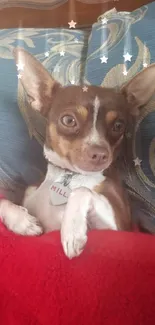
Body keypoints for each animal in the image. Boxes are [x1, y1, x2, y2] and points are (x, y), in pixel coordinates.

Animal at [0, 46, 155, 256]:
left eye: (118, 126)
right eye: (68, 120)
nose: (100, 153)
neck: (71, 176)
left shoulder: (118, 228)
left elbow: (82, 191)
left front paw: (72, 231)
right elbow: (3, 201)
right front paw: (22, 221)